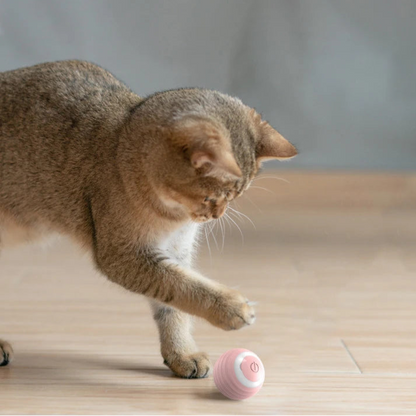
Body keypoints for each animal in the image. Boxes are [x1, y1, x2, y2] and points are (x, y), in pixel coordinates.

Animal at [1, 61, 298, 376]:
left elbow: (174, 305)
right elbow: (182, 286)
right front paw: (230, 308)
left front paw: (182, 353)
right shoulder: (124, 255)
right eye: (211, 198)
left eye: (235, 198)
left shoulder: (175, 250)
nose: (216, 216)